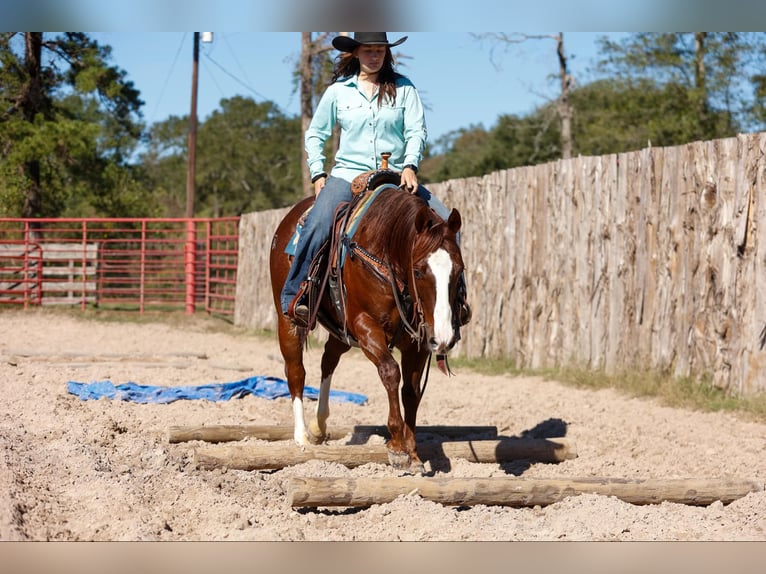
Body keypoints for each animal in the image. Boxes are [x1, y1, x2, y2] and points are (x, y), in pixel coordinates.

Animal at [269, 180, 465, 474]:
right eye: (419, 271)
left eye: (459, 269)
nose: (444, 337)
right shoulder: (365, 327)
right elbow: (391, 372)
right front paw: (397, 448)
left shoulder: (419, 341)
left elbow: (411, 392)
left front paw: (414, 453)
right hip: (289, 322)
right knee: (295, 371)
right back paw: (301, 436)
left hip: (341, 330)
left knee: (328, 360)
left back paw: (319, 425)